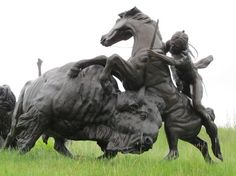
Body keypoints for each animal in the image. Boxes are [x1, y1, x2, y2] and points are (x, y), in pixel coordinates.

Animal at [68, 7, 221, 162]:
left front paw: (105, 82)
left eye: (117, 21)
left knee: (174, 153)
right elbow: (104, 58)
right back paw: (212, 163)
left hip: (172, 127)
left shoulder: (132, 76)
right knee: (203, 145)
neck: (146, 51)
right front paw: (75, 69)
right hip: (188, 134)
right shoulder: (126, 75)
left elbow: (113, 57)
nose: (103, 39)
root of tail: (202, 117)